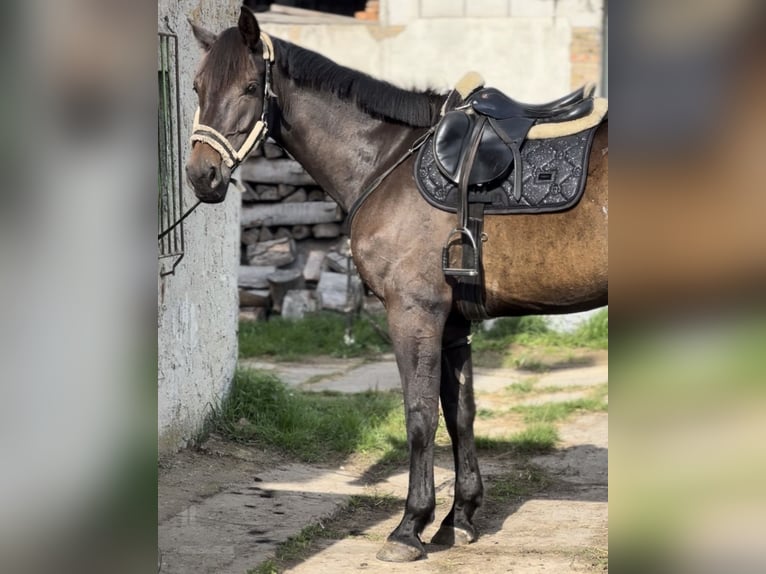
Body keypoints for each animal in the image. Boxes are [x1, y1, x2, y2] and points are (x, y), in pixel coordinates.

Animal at [186, 7, 608, 563]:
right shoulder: (453, 323)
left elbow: (419, 416)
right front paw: (459, 518)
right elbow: (460, 411)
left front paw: (410, 526)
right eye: (196, 87)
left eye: (251, 86)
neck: (389, 161)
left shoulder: (414, 312)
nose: (202, 176)